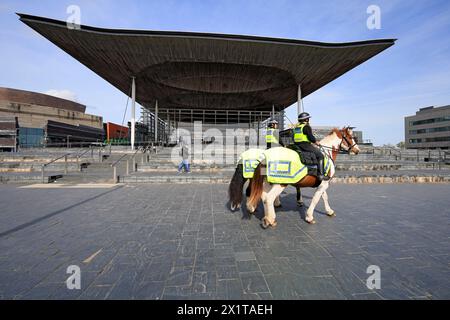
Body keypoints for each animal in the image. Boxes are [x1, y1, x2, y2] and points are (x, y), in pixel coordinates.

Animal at [230, 126, 360, 226]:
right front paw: (309, 217)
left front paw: (329, 211)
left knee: (262, 195)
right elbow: (316, 199)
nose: (357, 150)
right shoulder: (324, 183)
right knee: (267, 197)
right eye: (350, 137)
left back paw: (262, 213)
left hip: (267, 182)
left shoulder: (323, 183)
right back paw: (269, 218)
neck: (326, 153)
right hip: (279, 183)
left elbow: (324, 197)